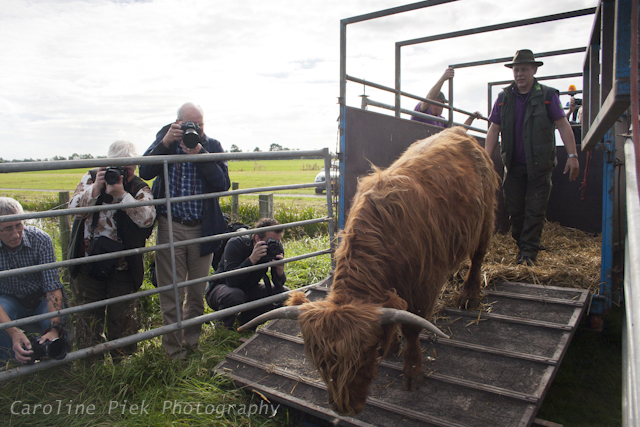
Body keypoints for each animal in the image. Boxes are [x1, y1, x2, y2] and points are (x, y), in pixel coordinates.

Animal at [239, 126, 500, 414]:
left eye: (367, 354)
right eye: (319, 360)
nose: (343, 407)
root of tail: (459, 132)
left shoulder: (424, 285)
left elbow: (413, 327)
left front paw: (412, 372)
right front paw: (393, 344)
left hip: (485, 219)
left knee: (477, 257)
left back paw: (469, 296)